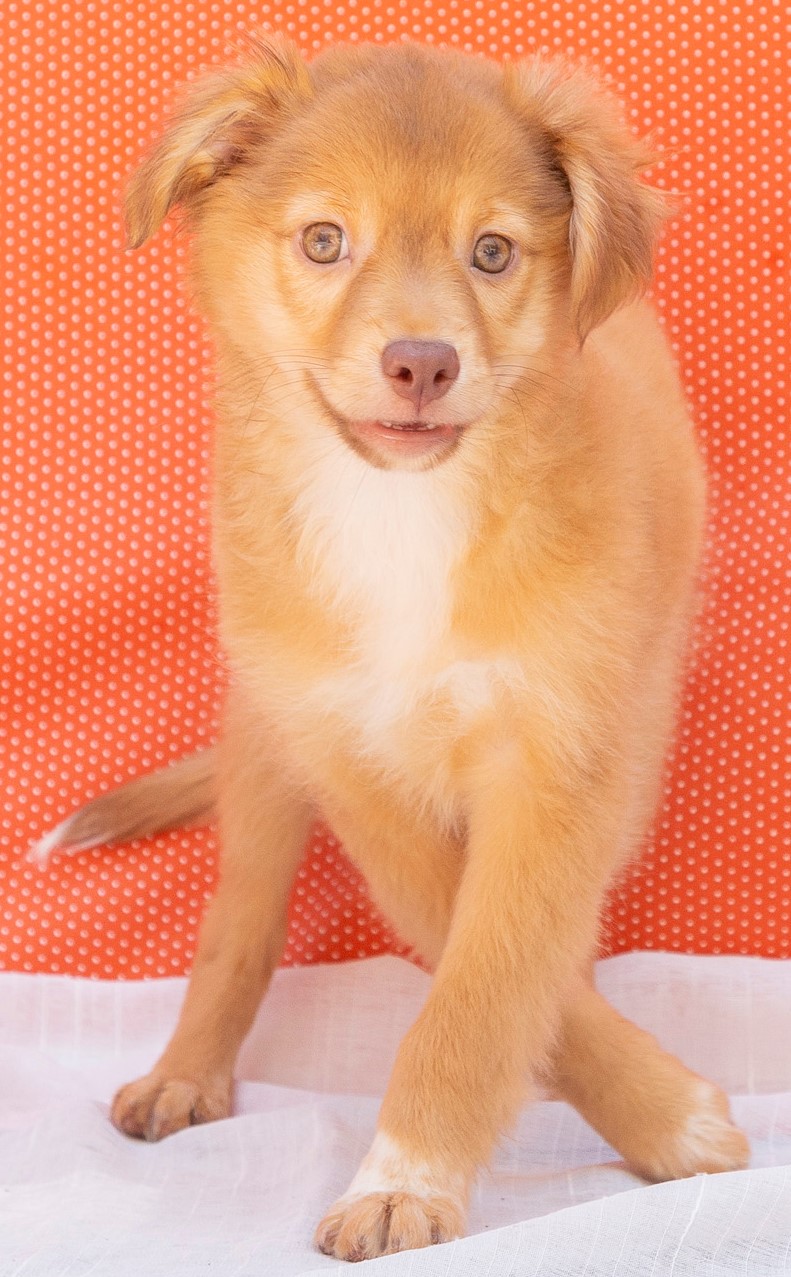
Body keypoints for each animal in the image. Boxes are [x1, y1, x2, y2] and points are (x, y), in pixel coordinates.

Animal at [37, 37, 751, 1256]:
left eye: (492, 252)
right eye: (325, 240)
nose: (422, 362)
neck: (402, 516)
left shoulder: (558, 760)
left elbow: (488, 982)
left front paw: (412, 1174)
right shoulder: (351, 760)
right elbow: (469, 954)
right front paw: (655, 1114)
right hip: (265, 739)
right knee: (238, 921)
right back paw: (186, 1073)